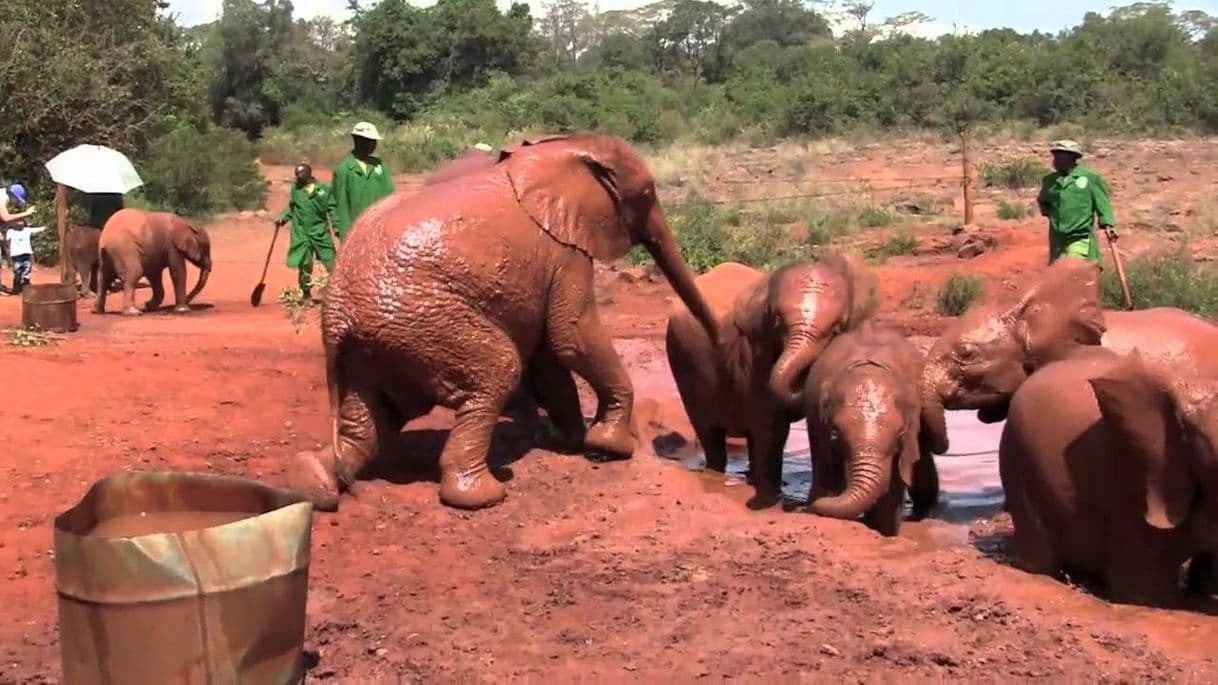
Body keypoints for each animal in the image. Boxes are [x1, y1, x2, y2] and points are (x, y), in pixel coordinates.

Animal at [292, 132, 721, 511]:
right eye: (647, 196)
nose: (718, 342)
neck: (562, 147)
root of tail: (336, 316)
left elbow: (550, 354)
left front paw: (566, 439)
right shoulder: (564, 249)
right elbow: (571, 336)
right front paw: (610, 446)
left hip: (375, 346)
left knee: (371, 423)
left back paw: (315, 483)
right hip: (422, 321)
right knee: (497, 370)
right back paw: (484, 495)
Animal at [667, 253, 876, 504]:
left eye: (836, 330)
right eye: (777, 321)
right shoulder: (756, 352)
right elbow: (770, 423)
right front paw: (772, 495)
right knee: (709, 432)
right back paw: (717, 474)